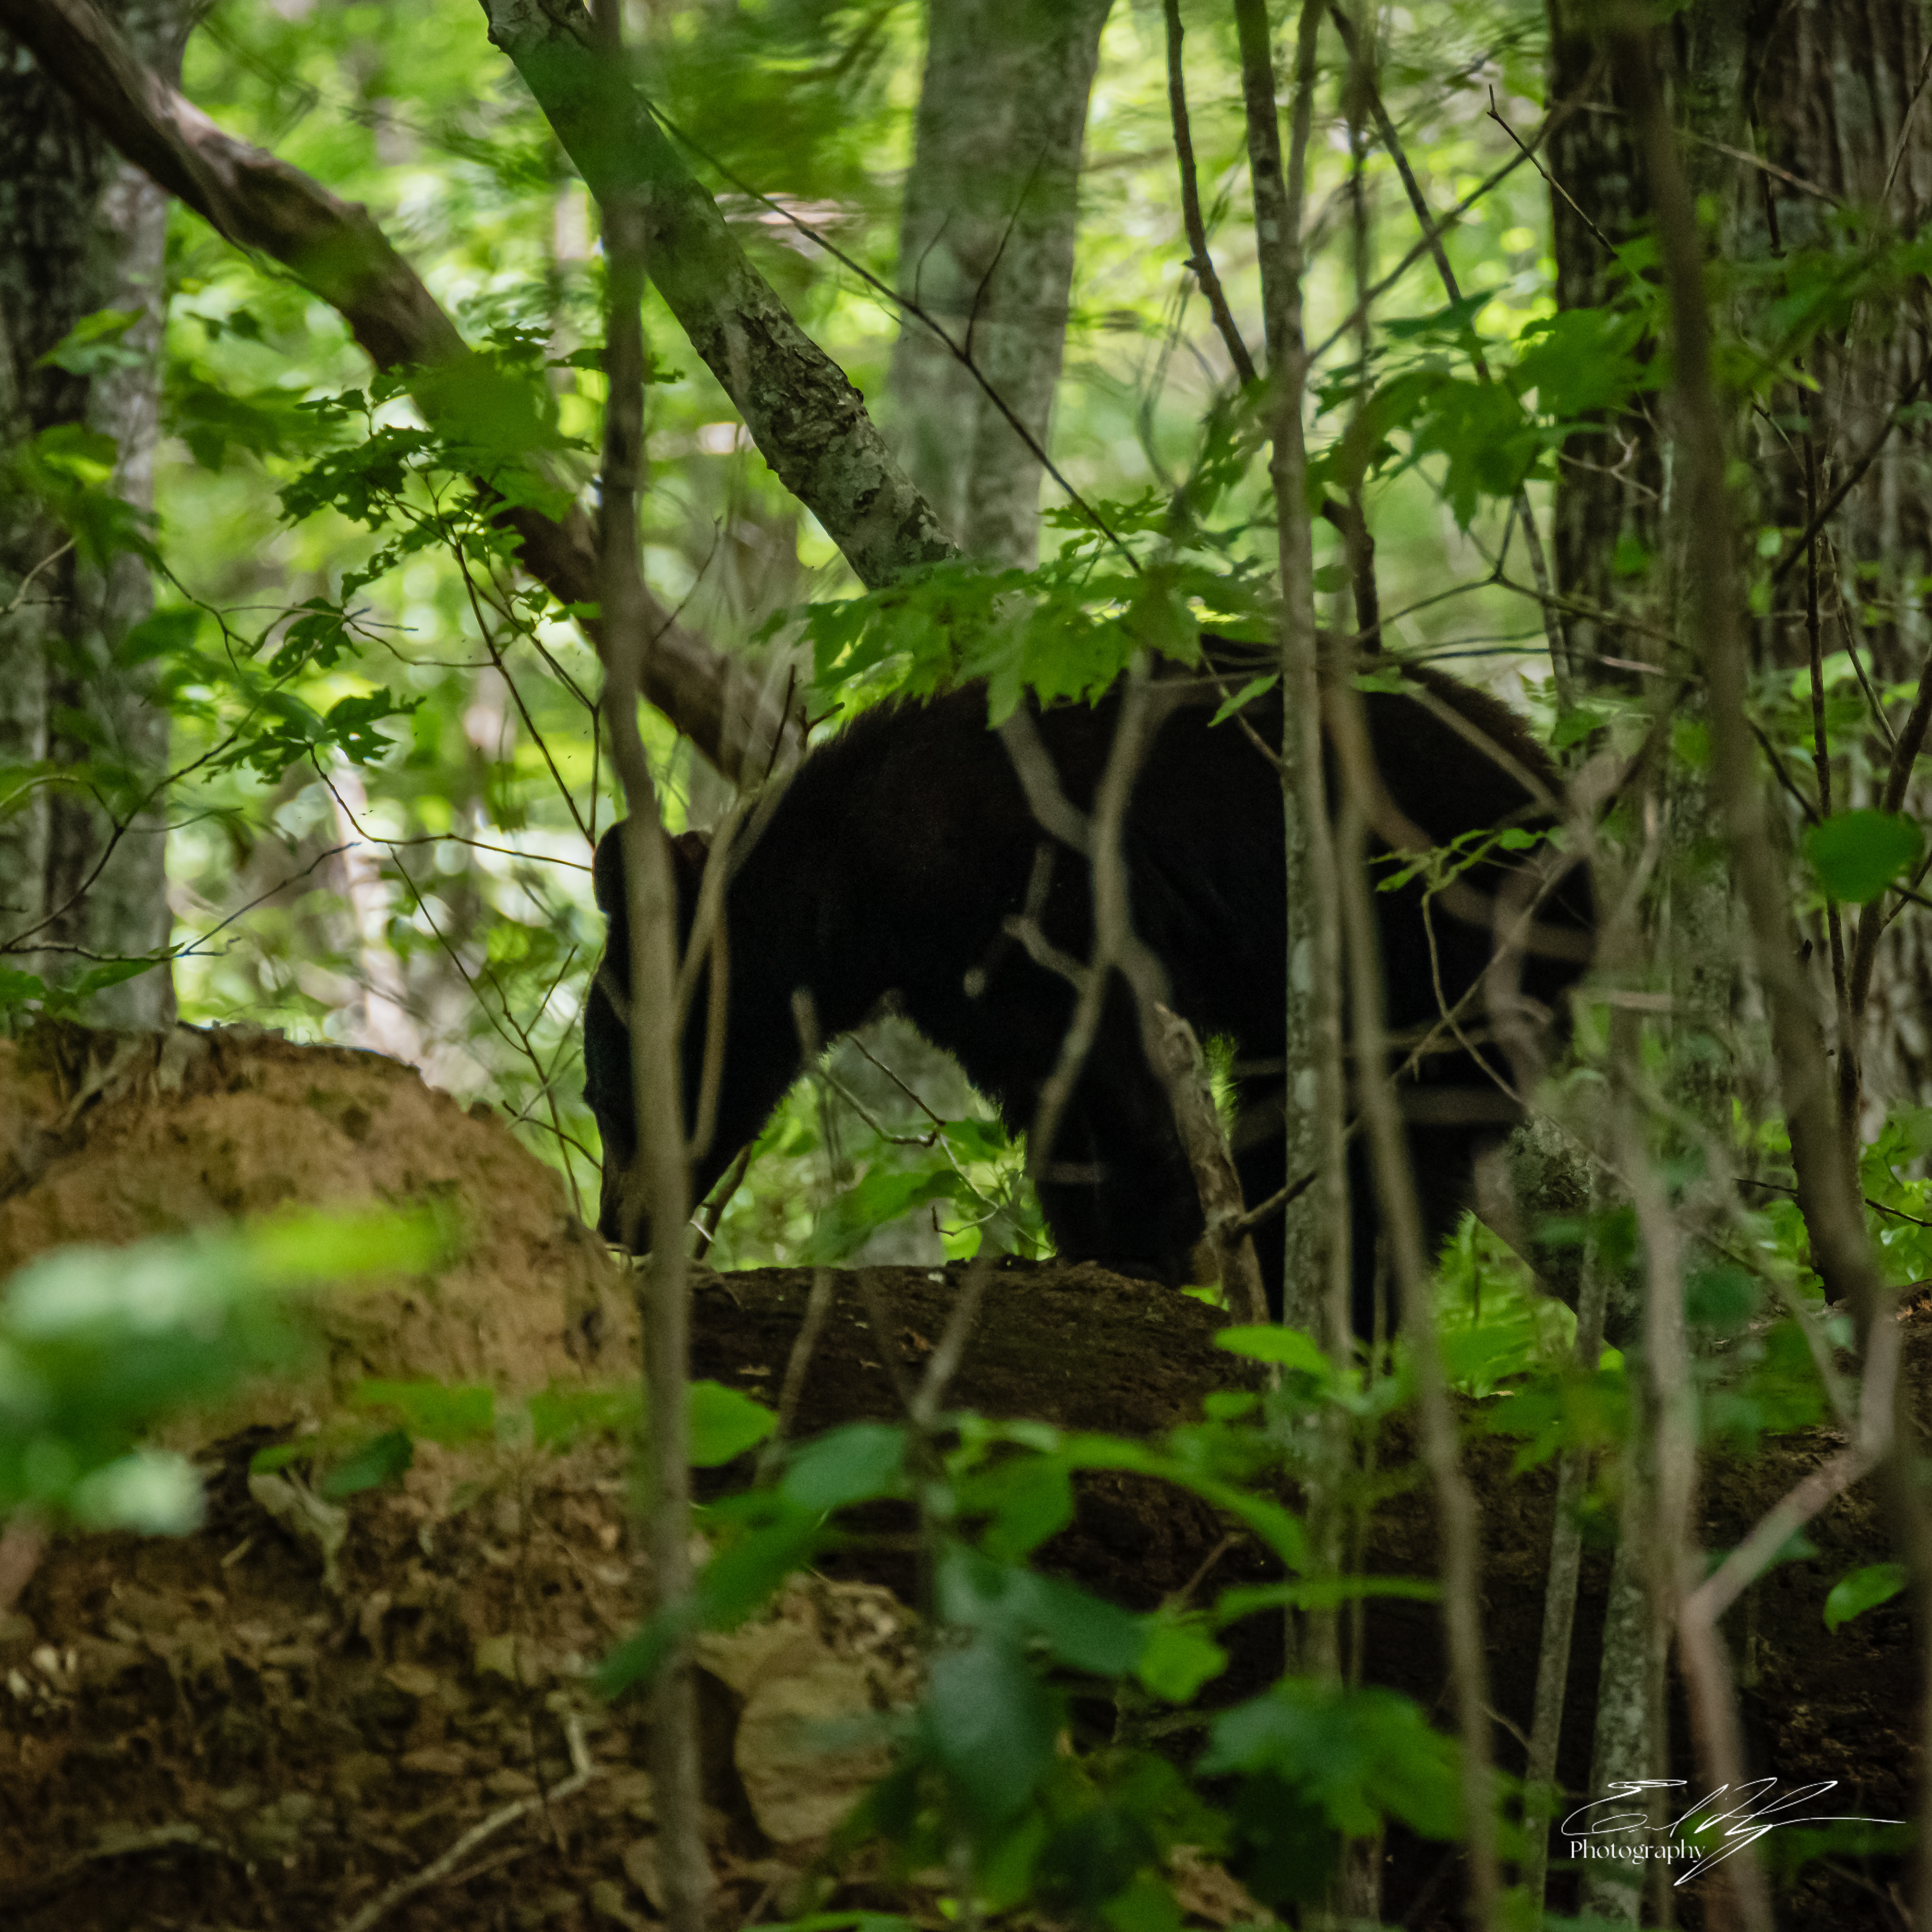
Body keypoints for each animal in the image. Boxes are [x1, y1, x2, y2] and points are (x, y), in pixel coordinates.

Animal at [581, 657, 1592, 1328]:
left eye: (603, 1096)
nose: (615, 1226)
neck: (852, 878)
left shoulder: (1047, 895)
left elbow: (1118, 1065)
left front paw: (1149, 1243)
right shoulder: (967, 975)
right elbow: (1050, 1096)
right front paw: (1085, 1243)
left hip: (1437, 931)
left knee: (1389, 1120)